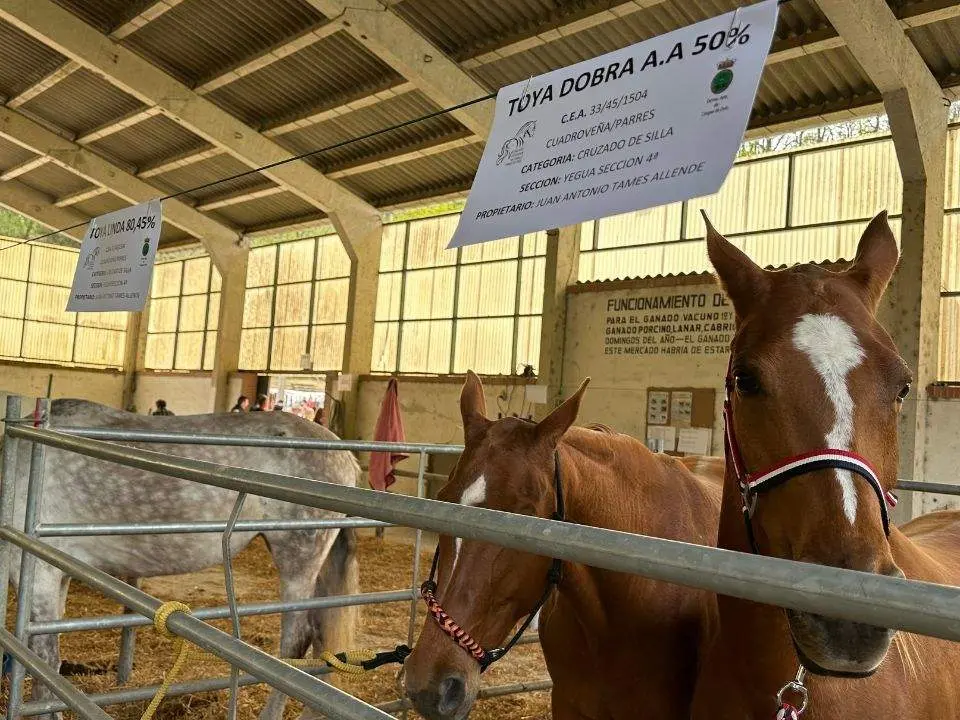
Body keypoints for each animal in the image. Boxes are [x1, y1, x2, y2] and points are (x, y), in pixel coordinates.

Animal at [2, 399, 361, 720]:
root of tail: (345, 456)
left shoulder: (38, 575)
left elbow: (45, 666)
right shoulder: (57, 574)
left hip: (297, 560)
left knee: (295, 644)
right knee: (321, 636)